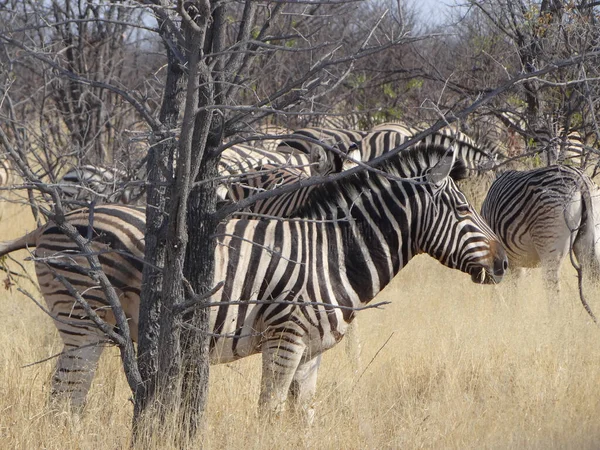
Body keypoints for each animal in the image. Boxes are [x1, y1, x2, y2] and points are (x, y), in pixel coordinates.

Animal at [0, 143, 506, 414]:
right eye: (463, 208)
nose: (503, 263)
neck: (333, 253)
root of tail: (51, 224)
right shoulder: (286, 340)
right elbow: (270, 412)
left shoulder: (311, 352)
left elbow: (302, 418)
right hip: (82, 322)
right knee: (64, 395)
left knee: (66, 397)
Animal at [480, 163, 600, 294]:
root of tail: (580, 179)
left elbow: (507, 288)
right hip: (588, 237)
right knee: (593, 274)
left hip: (549, 243)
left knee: (552, 286)